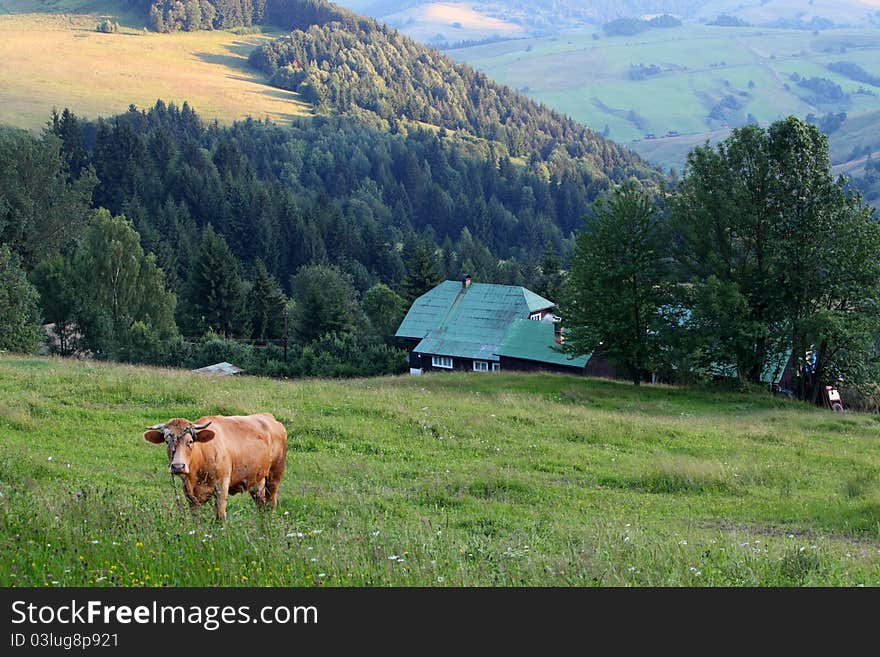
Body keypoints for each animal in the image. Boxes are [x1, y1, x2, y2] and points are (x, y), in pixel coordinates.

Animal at [144, 412, 288, 520]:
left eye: (190, 441)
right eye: (166, 441)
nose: (178, 466)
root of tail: (270, 417)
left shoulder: (221, 486)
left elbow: (220, 517)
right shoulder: (188, 492)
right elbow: (195, 518)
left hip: (274, 475)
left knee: (271, 503)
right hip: (256, 480)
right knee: (261, 505)